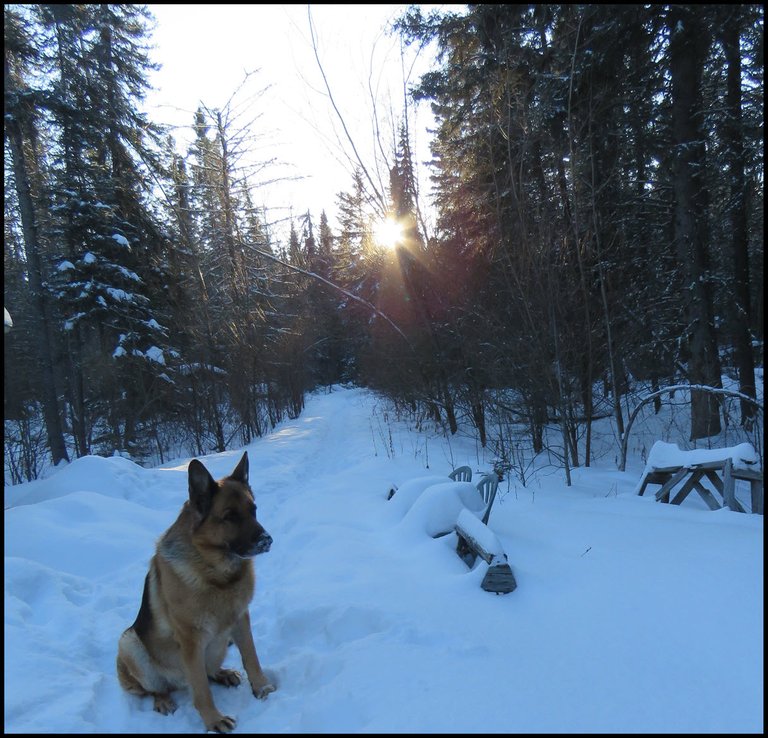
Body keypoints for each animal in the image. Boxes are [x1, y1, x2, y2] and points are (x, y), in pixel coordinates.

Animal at [117, 448, 276, 732]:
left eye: (253, 510)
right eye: (229, 516)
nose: (267, 540)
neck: (216, 572)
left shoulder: (241, 619)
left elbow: (251, 657)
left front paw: (262, 688)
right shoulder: (191, 640)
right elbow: (201, 689)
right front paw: (213, 720)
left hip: (220, 643)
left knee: (209, 671)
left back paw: (223, 673)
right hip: (129, 643)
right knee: (160, 688)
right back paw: (163, 700)